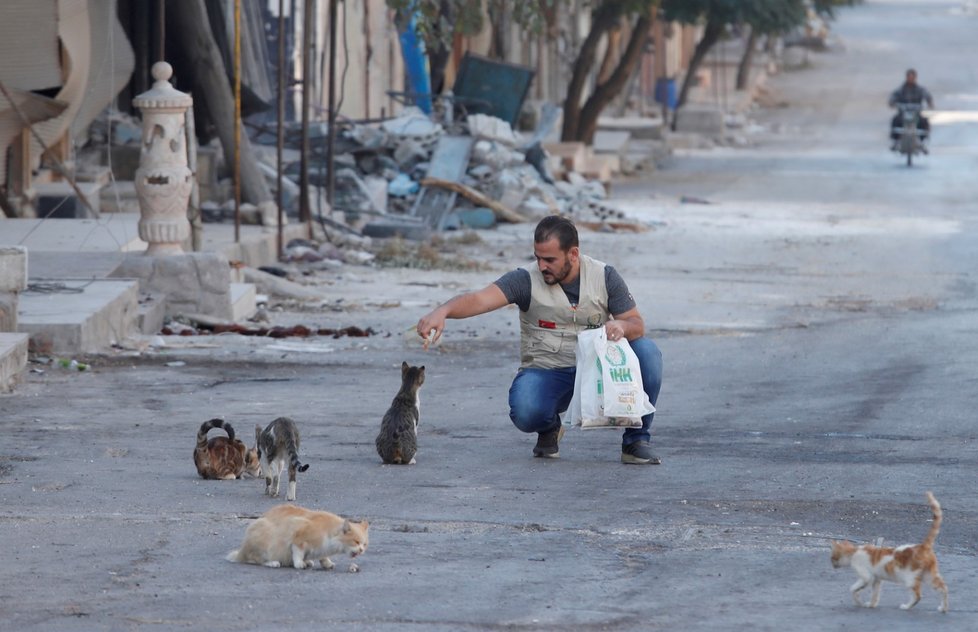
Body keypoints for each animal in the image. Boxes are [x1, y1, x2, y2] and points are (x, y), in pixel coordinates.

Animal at [223, 504, 368, 572]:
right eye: (356, 541)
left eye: (364, 544)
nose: (361, 550)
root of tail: (241, 551)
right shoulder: (298, 533)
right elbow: (297, 552)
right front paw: (299, 563)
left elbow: (323, 556)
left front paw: (326, 563)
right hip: (263, 537)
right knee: (255, 559)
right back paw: (273, 563)